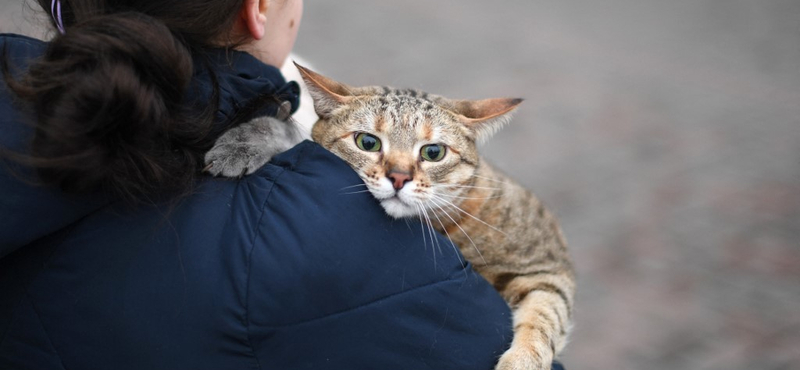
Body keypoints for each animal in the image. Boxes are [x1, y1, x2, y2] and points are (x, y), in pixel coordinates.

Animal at [203, 64, 572, 370]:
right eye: (367, 142)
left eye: (433, 152)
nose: (398, 177)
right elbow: (291, 133)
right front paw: (243, 142)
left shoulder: (547, 267)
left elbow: (544, 318)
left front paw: (521, 361)